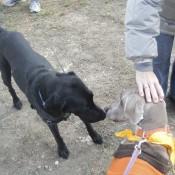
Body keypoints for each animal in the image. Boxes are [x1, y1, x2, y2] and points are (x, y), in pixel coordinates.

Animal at [0, 27, 105, 159]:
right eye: (85, 106)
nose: (104, 114)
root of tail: (5, 32)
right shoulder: (51, 122)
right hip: (5, 72)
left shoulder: (81, 113)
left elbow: (88, 123)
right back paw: (16, 101)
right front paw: (62, 149)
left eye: (92, 96)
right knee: (10, 88)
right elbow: (57, 136)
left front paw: (95, 136)